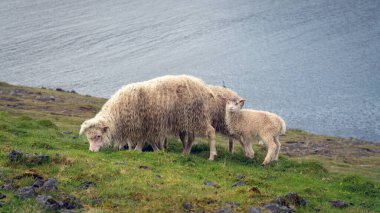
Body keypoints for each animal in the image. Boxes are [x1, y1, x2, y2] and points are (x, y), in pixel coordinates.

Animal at [78, 75, 218, 160]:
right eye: (88, 137)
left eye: (98, 136)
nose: (92, 151)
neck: (118, 111)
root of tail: (204, 88)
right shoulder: (147, 124)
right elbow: (149, 139)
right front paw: (156, 150)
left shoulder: (140, 123)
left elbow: (142, 138)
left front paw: (137, 150)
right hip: (188, 118)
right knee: (191, 137)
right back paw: (185, 153)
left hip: (196, 115)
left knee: (211, 132)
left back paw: (211, 156)